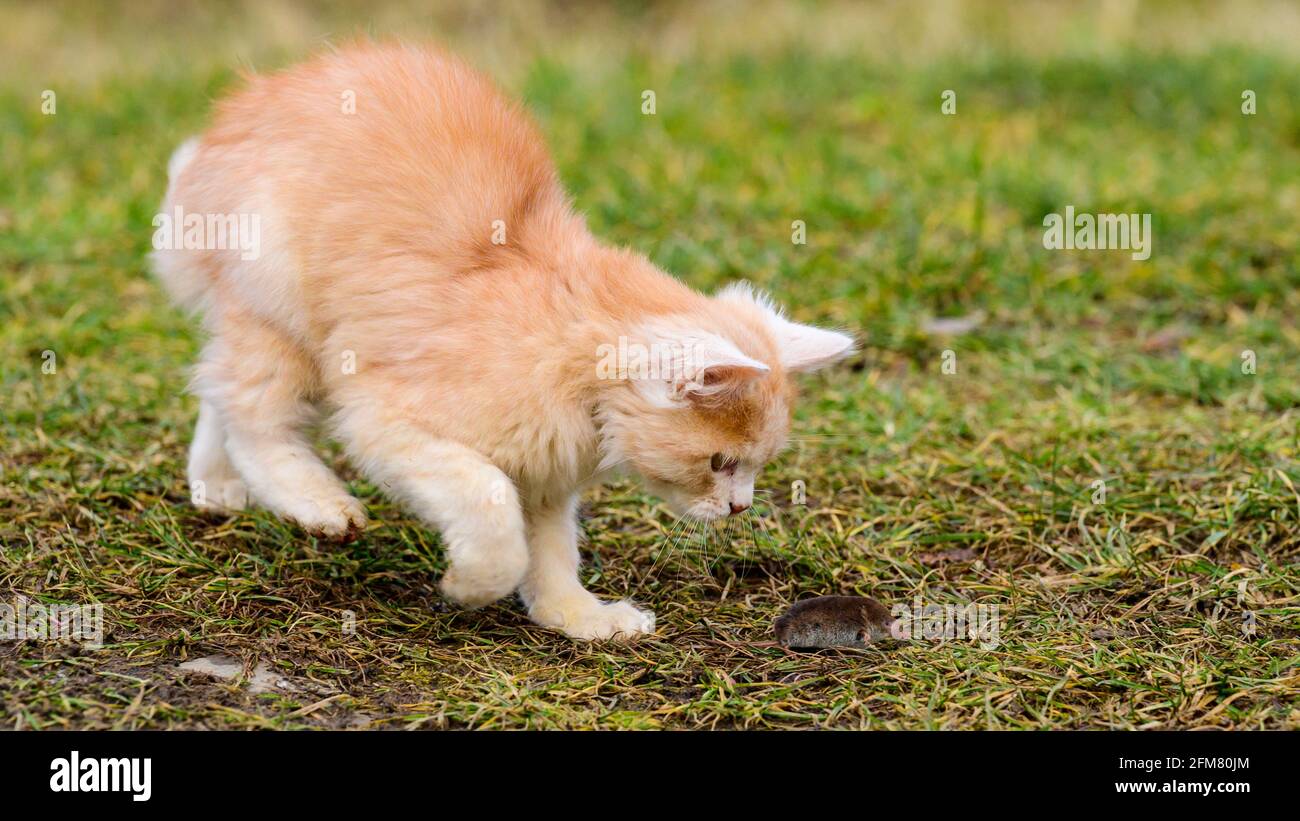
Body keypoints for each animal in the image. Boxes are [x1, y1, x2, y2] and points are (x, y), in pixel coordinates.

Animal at [154, 41, 852, 639]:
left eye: (755, 468)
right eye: (718, 463)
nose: (741, 509)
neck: (574, 363)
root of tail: (247, 105)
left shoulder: (546, 475)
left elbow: (550, 556)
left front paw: (578, 618)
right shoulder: (386, 419)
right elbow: (493, 516)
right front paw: (468, 585)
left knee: (218, 390)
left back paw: (214, 485)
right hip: (281, 312)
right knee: (254, 419)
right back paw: (316, 503)